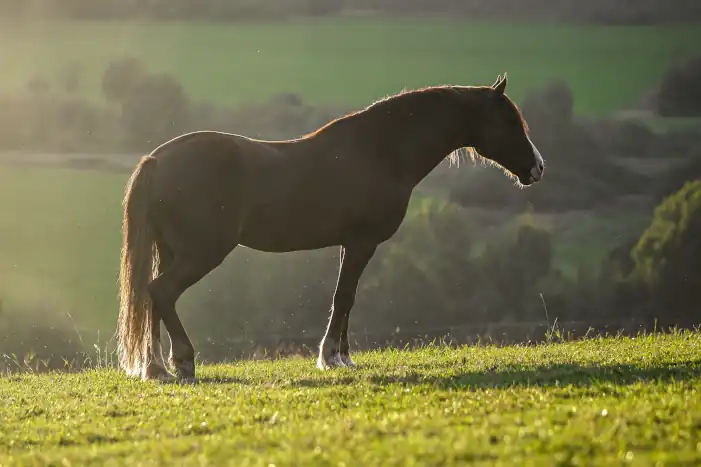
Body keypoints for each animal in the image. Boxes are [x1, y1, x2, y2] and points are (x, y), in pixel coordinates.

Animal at [116, 74, 545, 381]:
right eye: (509, 121)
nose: (538, 167)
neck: (380, 151)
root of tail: (157, 158)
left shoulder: (349, 245)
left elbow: (346, 298)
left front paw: (344, 356)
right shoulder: (361, 243)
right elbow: (344, 297)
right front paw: (332, 357)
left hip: (170, 251)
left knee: (152, 297)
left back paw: (155, 367)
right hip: (201, 253)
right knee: (162, 292)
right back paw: (182, 362)